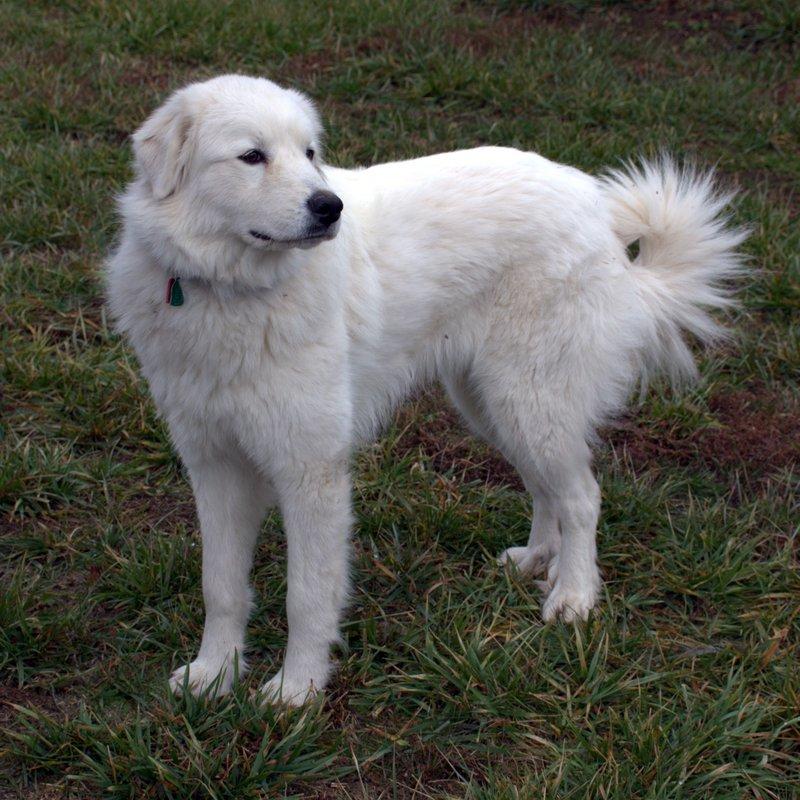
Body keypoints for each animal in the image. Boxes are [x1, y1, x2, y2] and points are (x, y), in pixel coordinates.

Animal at [104, 73, 744, 700]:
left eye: (309, 154)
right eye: (251, 156)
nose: (329, 207)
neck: (227, 291)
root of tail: (595, 207)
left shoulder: (311, 471)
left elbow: (305, 596)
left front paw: (296, 691)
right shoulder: (214, 465)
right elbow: (221, 588)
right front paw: (213, 675)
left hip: (530, 400)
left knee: (582, 497)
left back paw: (574, 597)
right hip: (492, 404)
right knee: (548, 490)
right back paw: (538, 560)